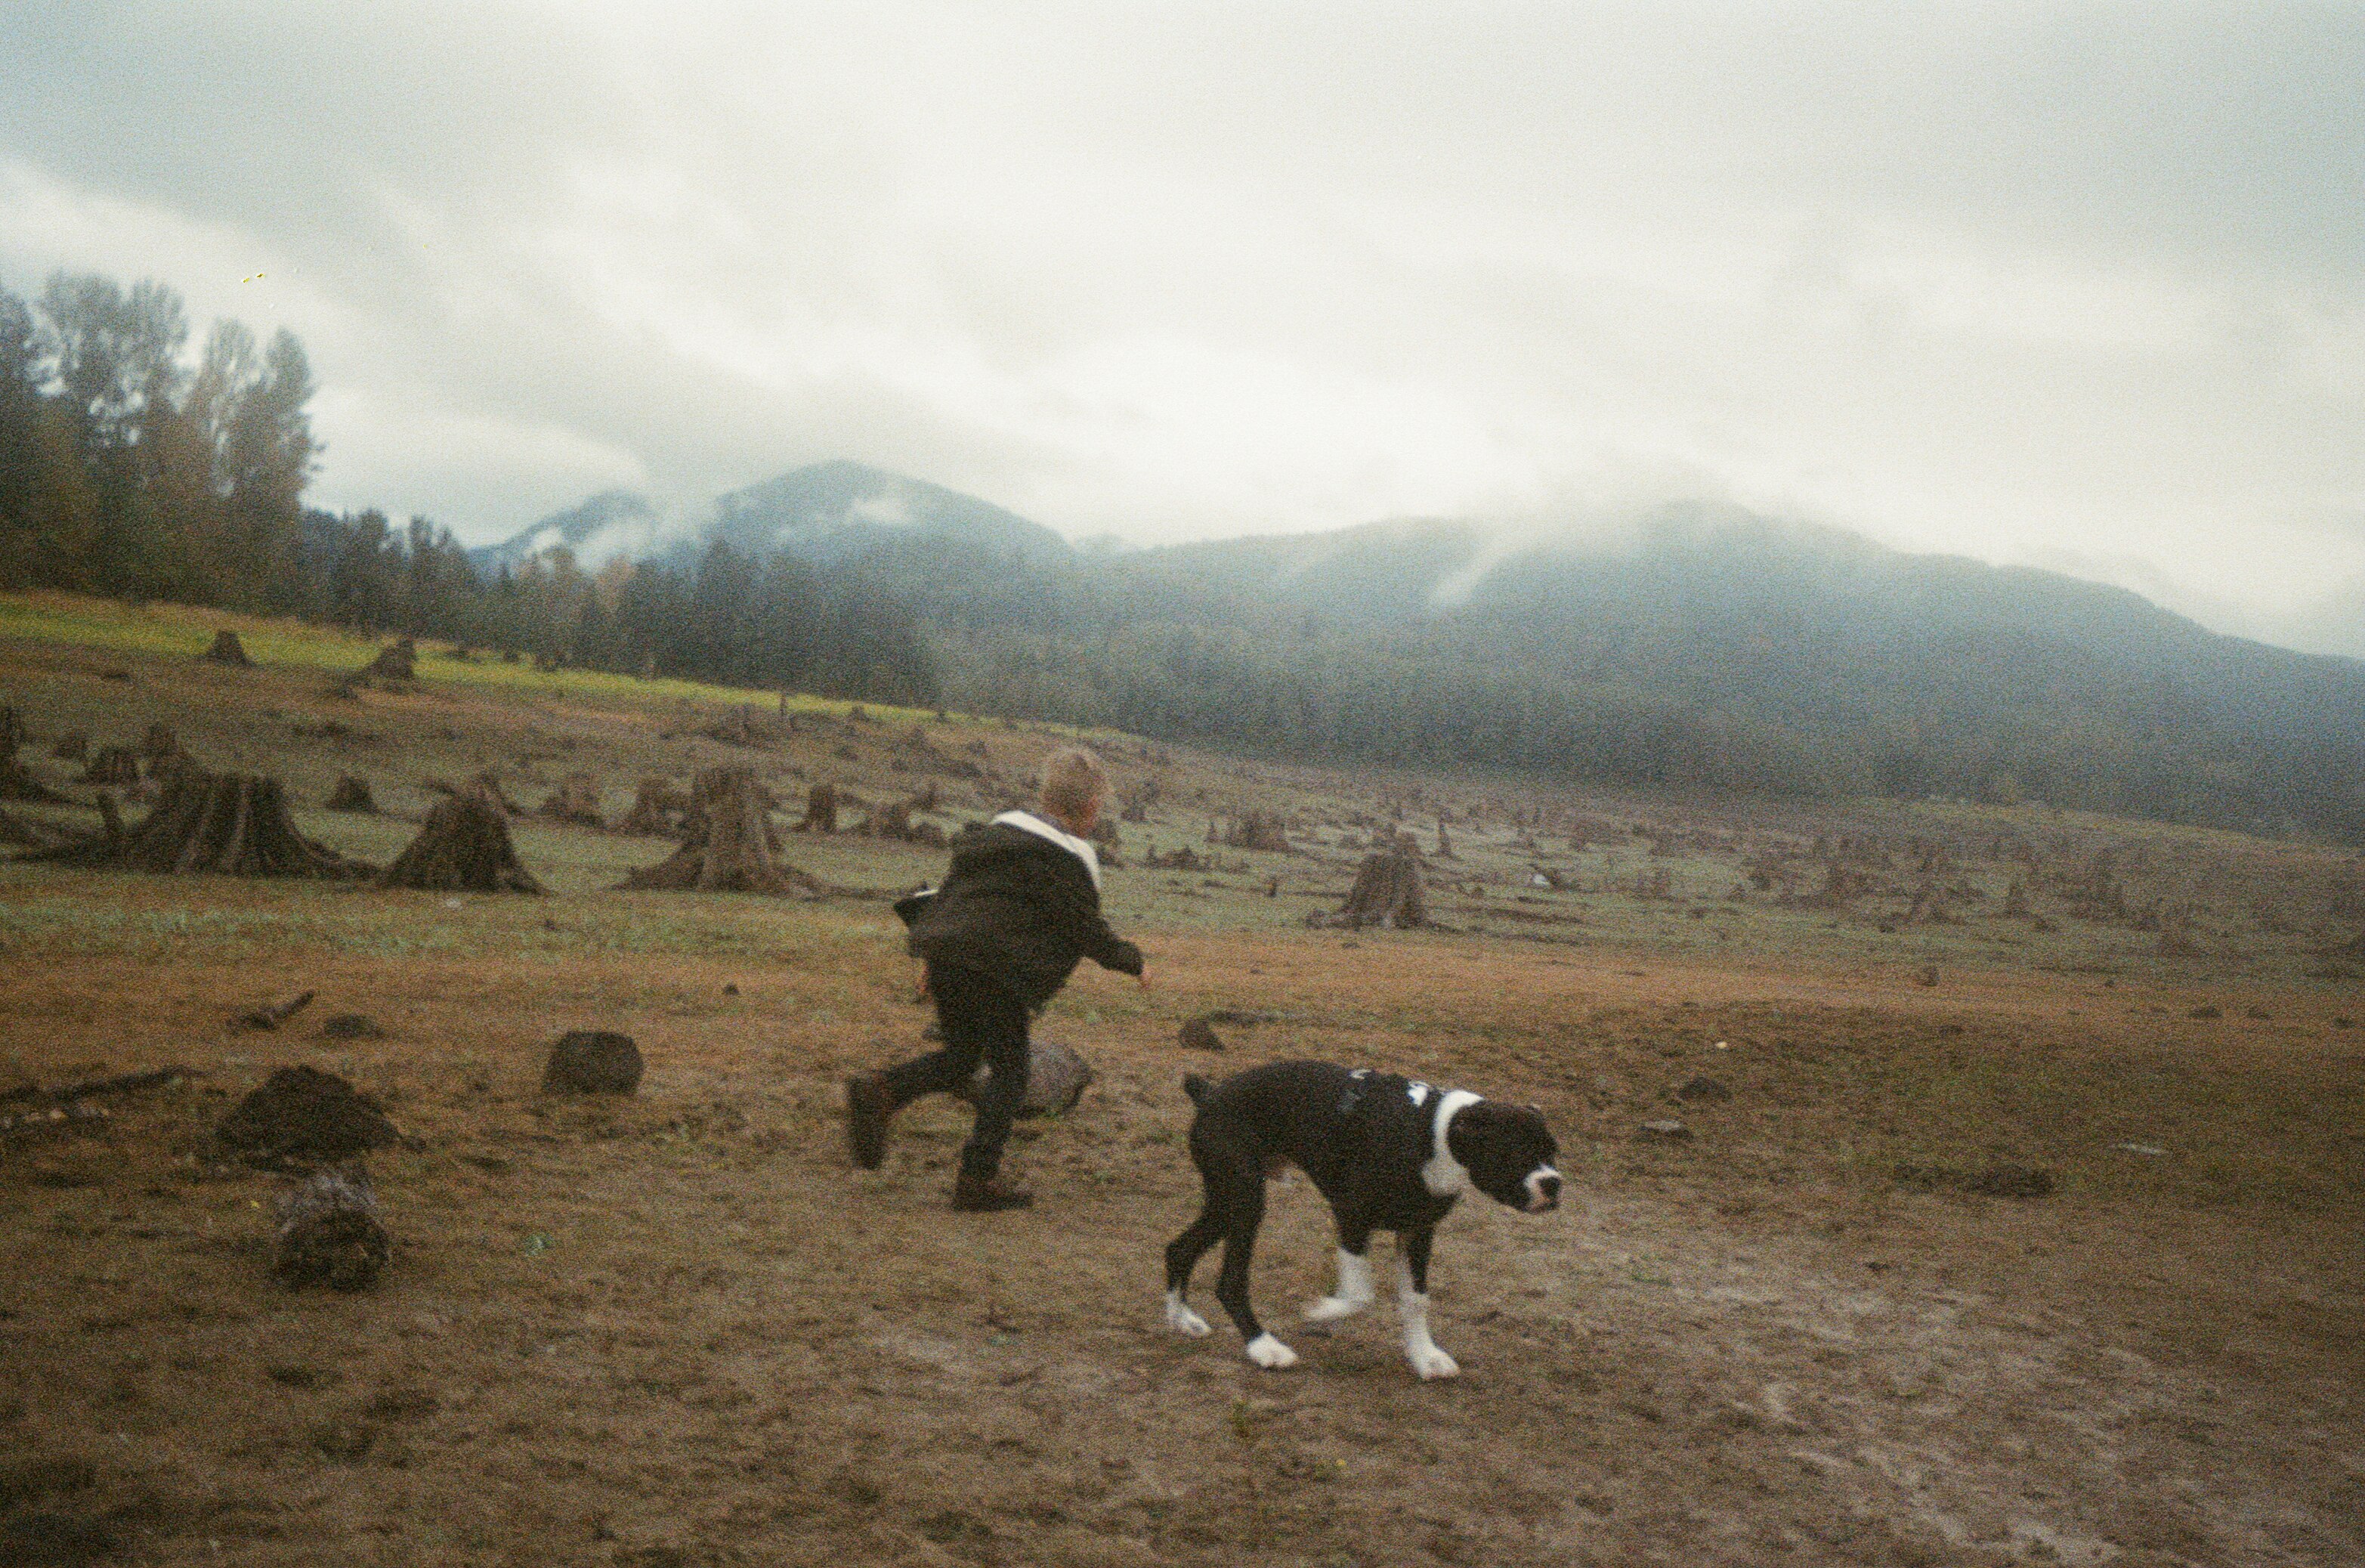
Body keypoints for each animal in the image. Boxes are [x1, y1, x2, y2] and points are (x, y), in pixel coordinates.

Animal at [1158, 1059, 1551, 1381]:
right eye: (1515, 1155)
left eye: (1553, 1153)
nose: (1553, 1183)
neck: (1430, 1133)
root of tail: (1209, 1094)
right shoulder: (1351, 1217)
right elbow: (1361, 1295)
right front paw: (1321, 1312)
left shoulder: (1418, 1232)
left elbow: (1416, 1299)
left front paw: (1424, 1356)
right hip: (1245, 1202)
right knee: (1230, 1281)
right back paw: (1264, 1347)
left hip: (1228, 1201)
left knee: (1179, 1249)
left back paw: (1182, 1320)